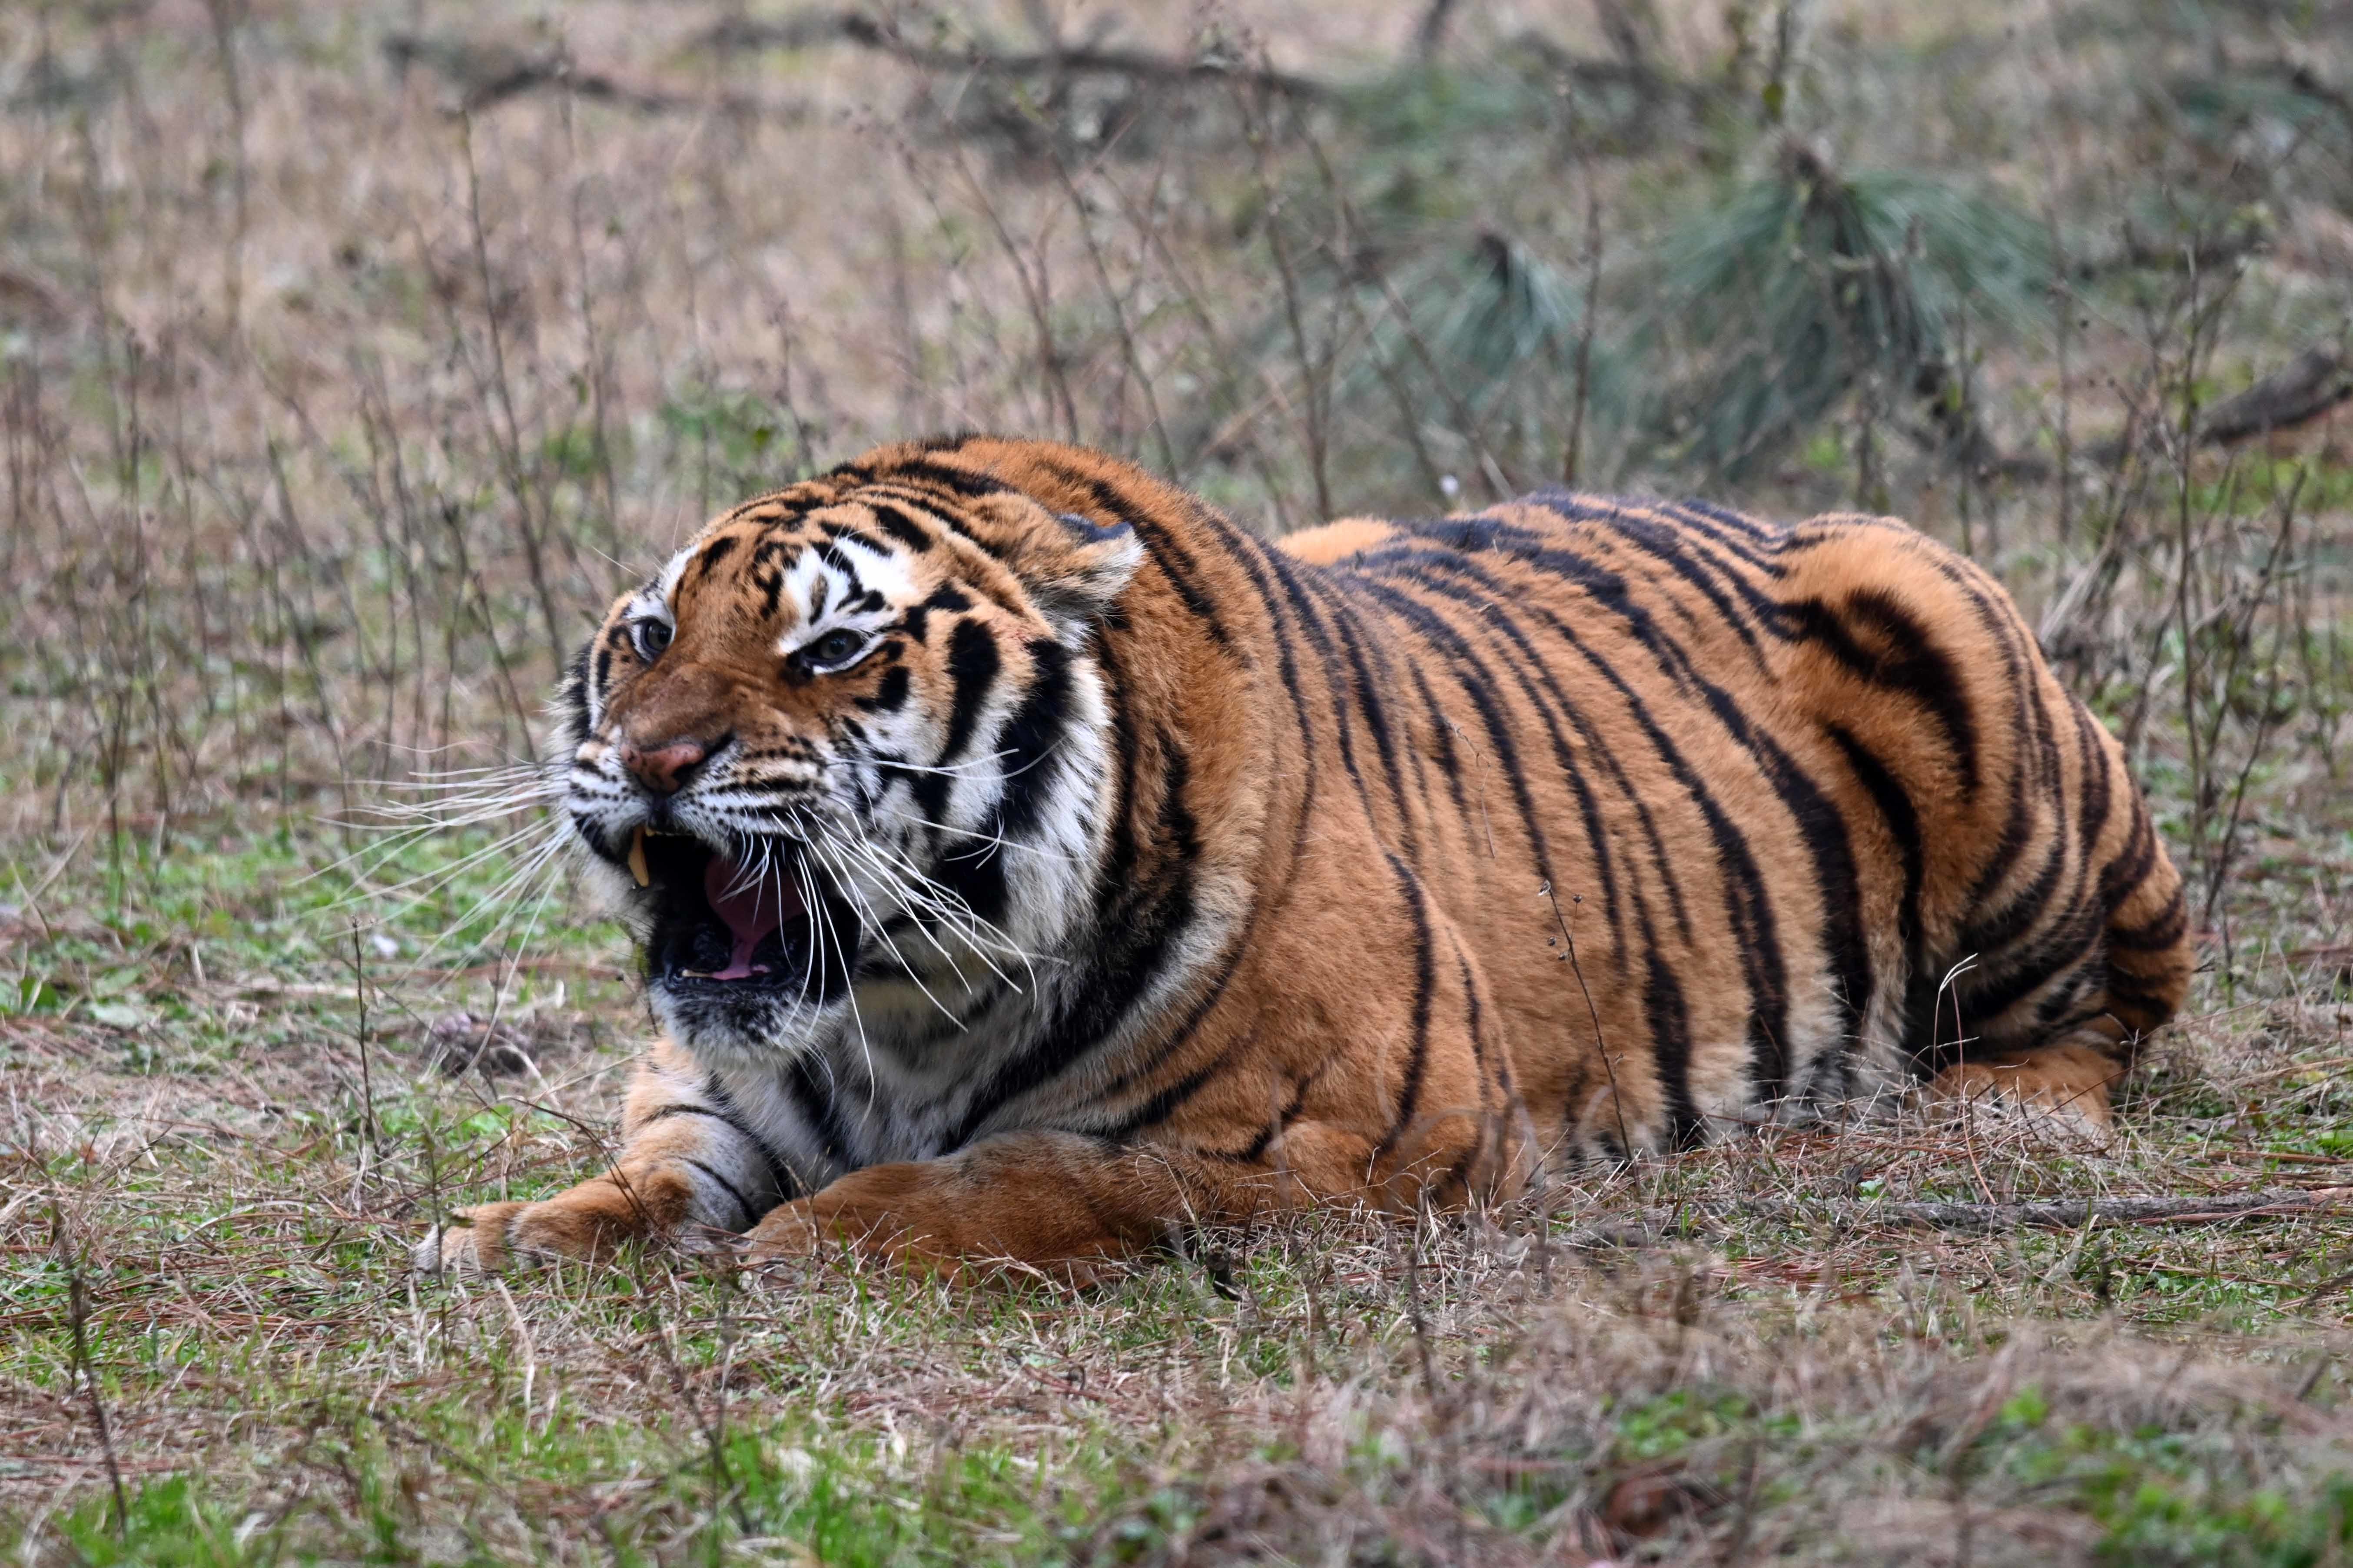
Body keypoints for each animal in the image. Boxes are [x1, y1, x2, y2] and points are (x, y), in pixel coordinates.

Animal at [414, 433, 2193, 1280]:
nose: (648, 762)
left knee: (2102, 1021)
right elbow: (661, 1164)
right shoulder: (723, 1082)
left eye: (834, 648)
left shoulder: (1374, 1143)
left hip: (1945, 623)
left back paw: (1974, 1123)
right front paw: (510, 1233)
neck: (910, 1006)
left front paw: (828, 1240)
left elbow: (1049, 1177)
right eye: (649, 638)